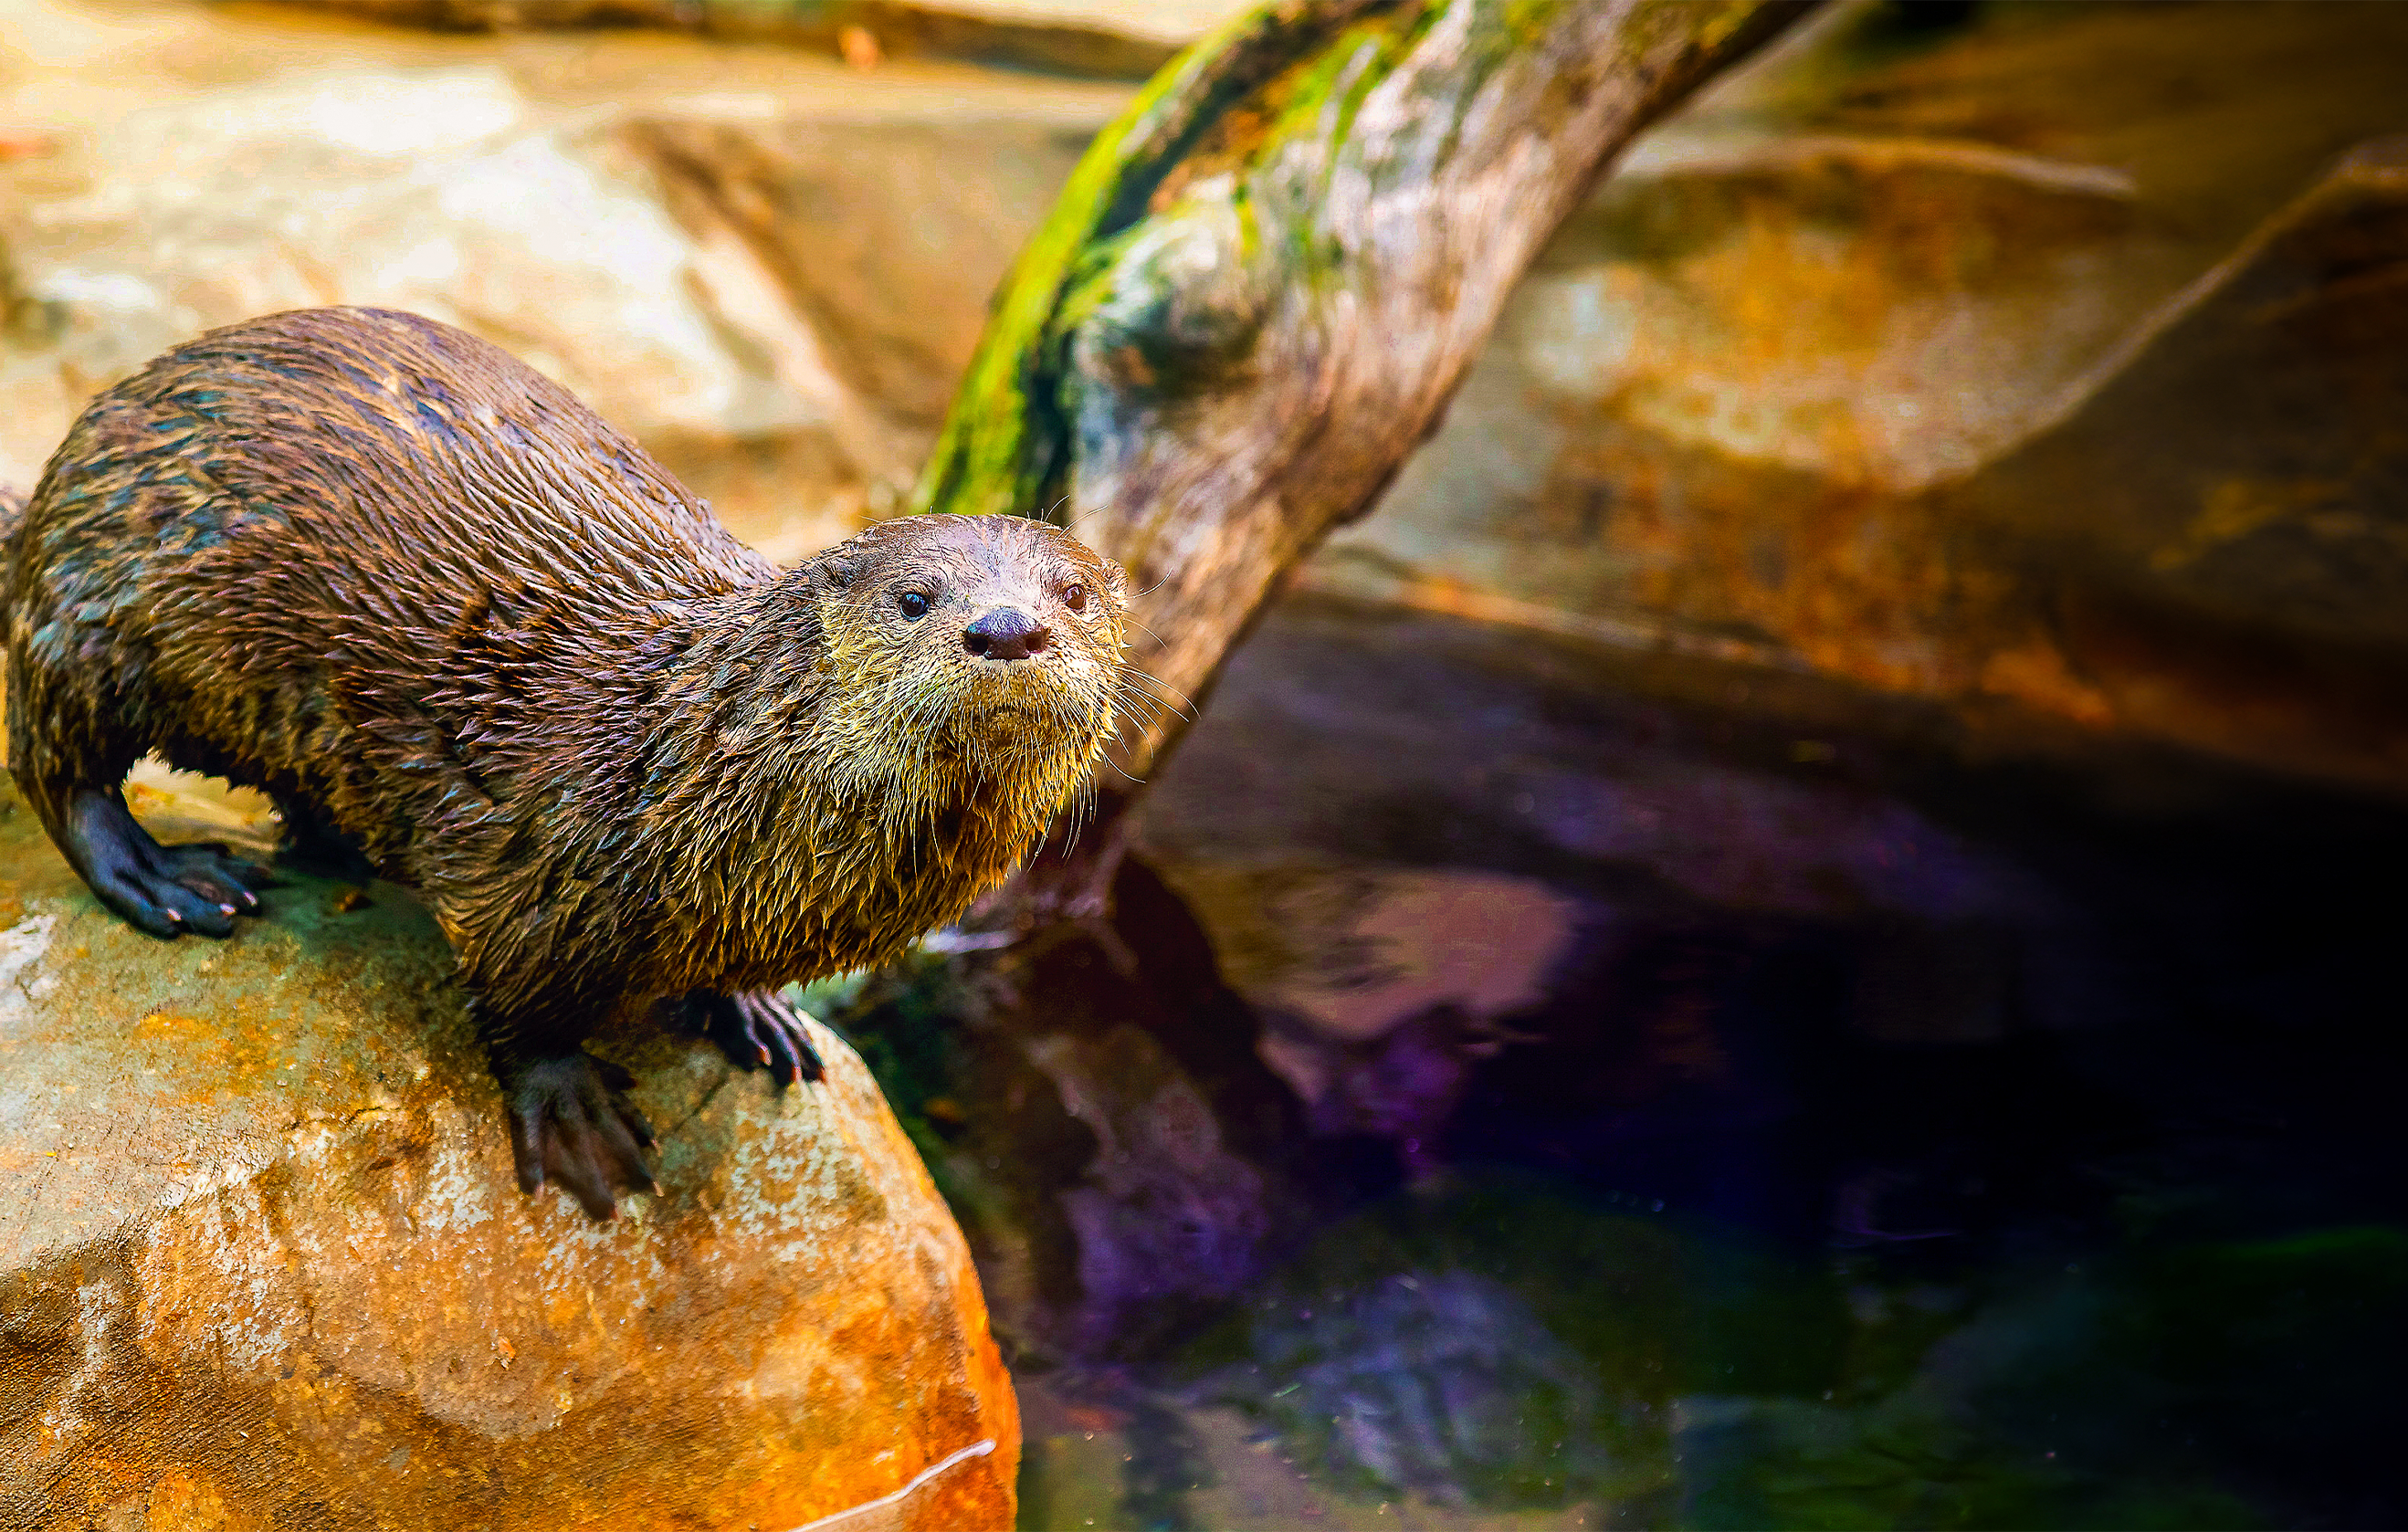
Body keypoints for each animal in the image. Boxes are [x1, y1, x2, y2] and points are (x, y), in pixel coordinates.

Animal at [2, 307, 1127, 1220]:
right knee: (53, 753)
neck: (688, 762)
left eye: (1072, 592)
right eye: (915, 597)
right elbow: (518, 1000)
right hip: (103, 601)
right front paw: (573, 1107)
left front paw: (753, 1011)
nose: (1007, 627)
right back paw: (168, 876)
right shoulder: (537, 862)